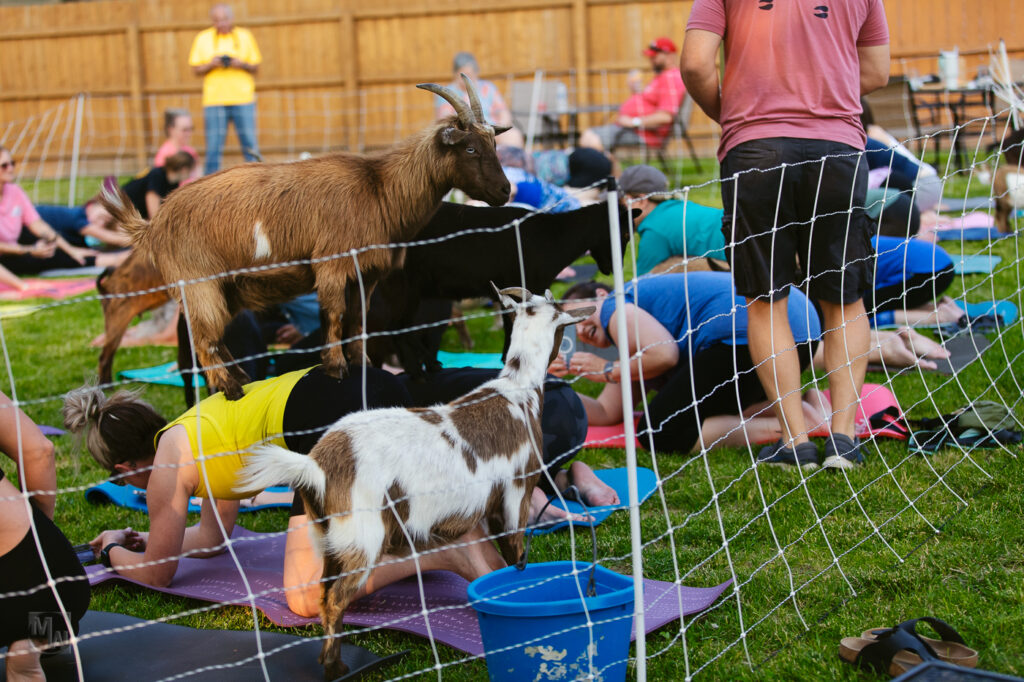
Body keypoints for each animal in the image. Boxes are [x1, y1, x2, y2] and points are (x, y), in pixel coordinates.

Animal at [234, 280, 593, 675]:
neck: (517, 390)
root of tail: (315, 465)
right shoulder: (517, 489)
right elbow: (515, 551)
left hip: (325, 535)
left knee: (323, 592)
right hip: (362, 536)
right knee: (335, 600)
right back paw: (336, 668)